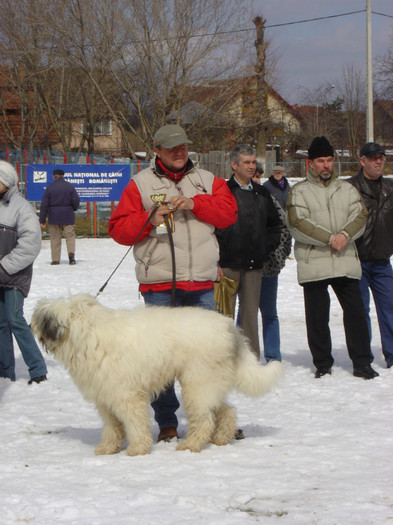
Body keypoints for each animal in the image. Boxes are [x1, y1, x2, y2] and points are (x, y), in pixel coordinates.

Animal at [30, 294, 282, 454]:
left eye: (41, 316)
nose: (31, 324)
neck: (87, 333)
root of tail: (229, 326)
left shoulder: (127, 396)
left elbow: (134, 423)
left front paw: (137, 449)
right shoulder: (106, 396)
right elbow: (112, 427)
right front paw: (107, 448)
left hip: (198, 382)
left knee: (204, 420)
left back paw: (190, 445)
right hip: (210, 382)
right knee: (226, 411)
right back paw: (221, 438)